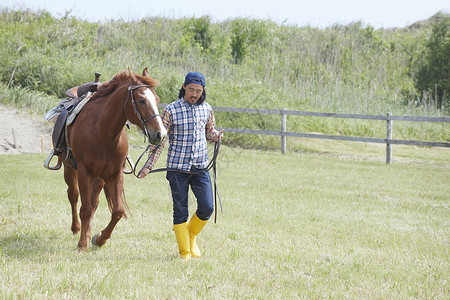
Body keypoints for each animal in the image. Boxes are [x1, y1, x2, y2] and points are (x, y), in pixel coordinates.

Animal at [59, 67, 165, 251]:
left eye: (157, 99)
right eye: (141, 100)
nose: (160, 134)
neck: (103, 131)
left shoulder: (114, 173)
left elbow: (117, 211)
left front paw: (99, 238)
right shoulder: (84, 171)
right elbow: (85, 209)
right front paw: (82, 244)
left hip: (99, 177)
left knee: (93, 202)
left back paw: (88, 232)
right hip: (70, 168)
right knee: (73, 195)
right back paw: (76, 228)